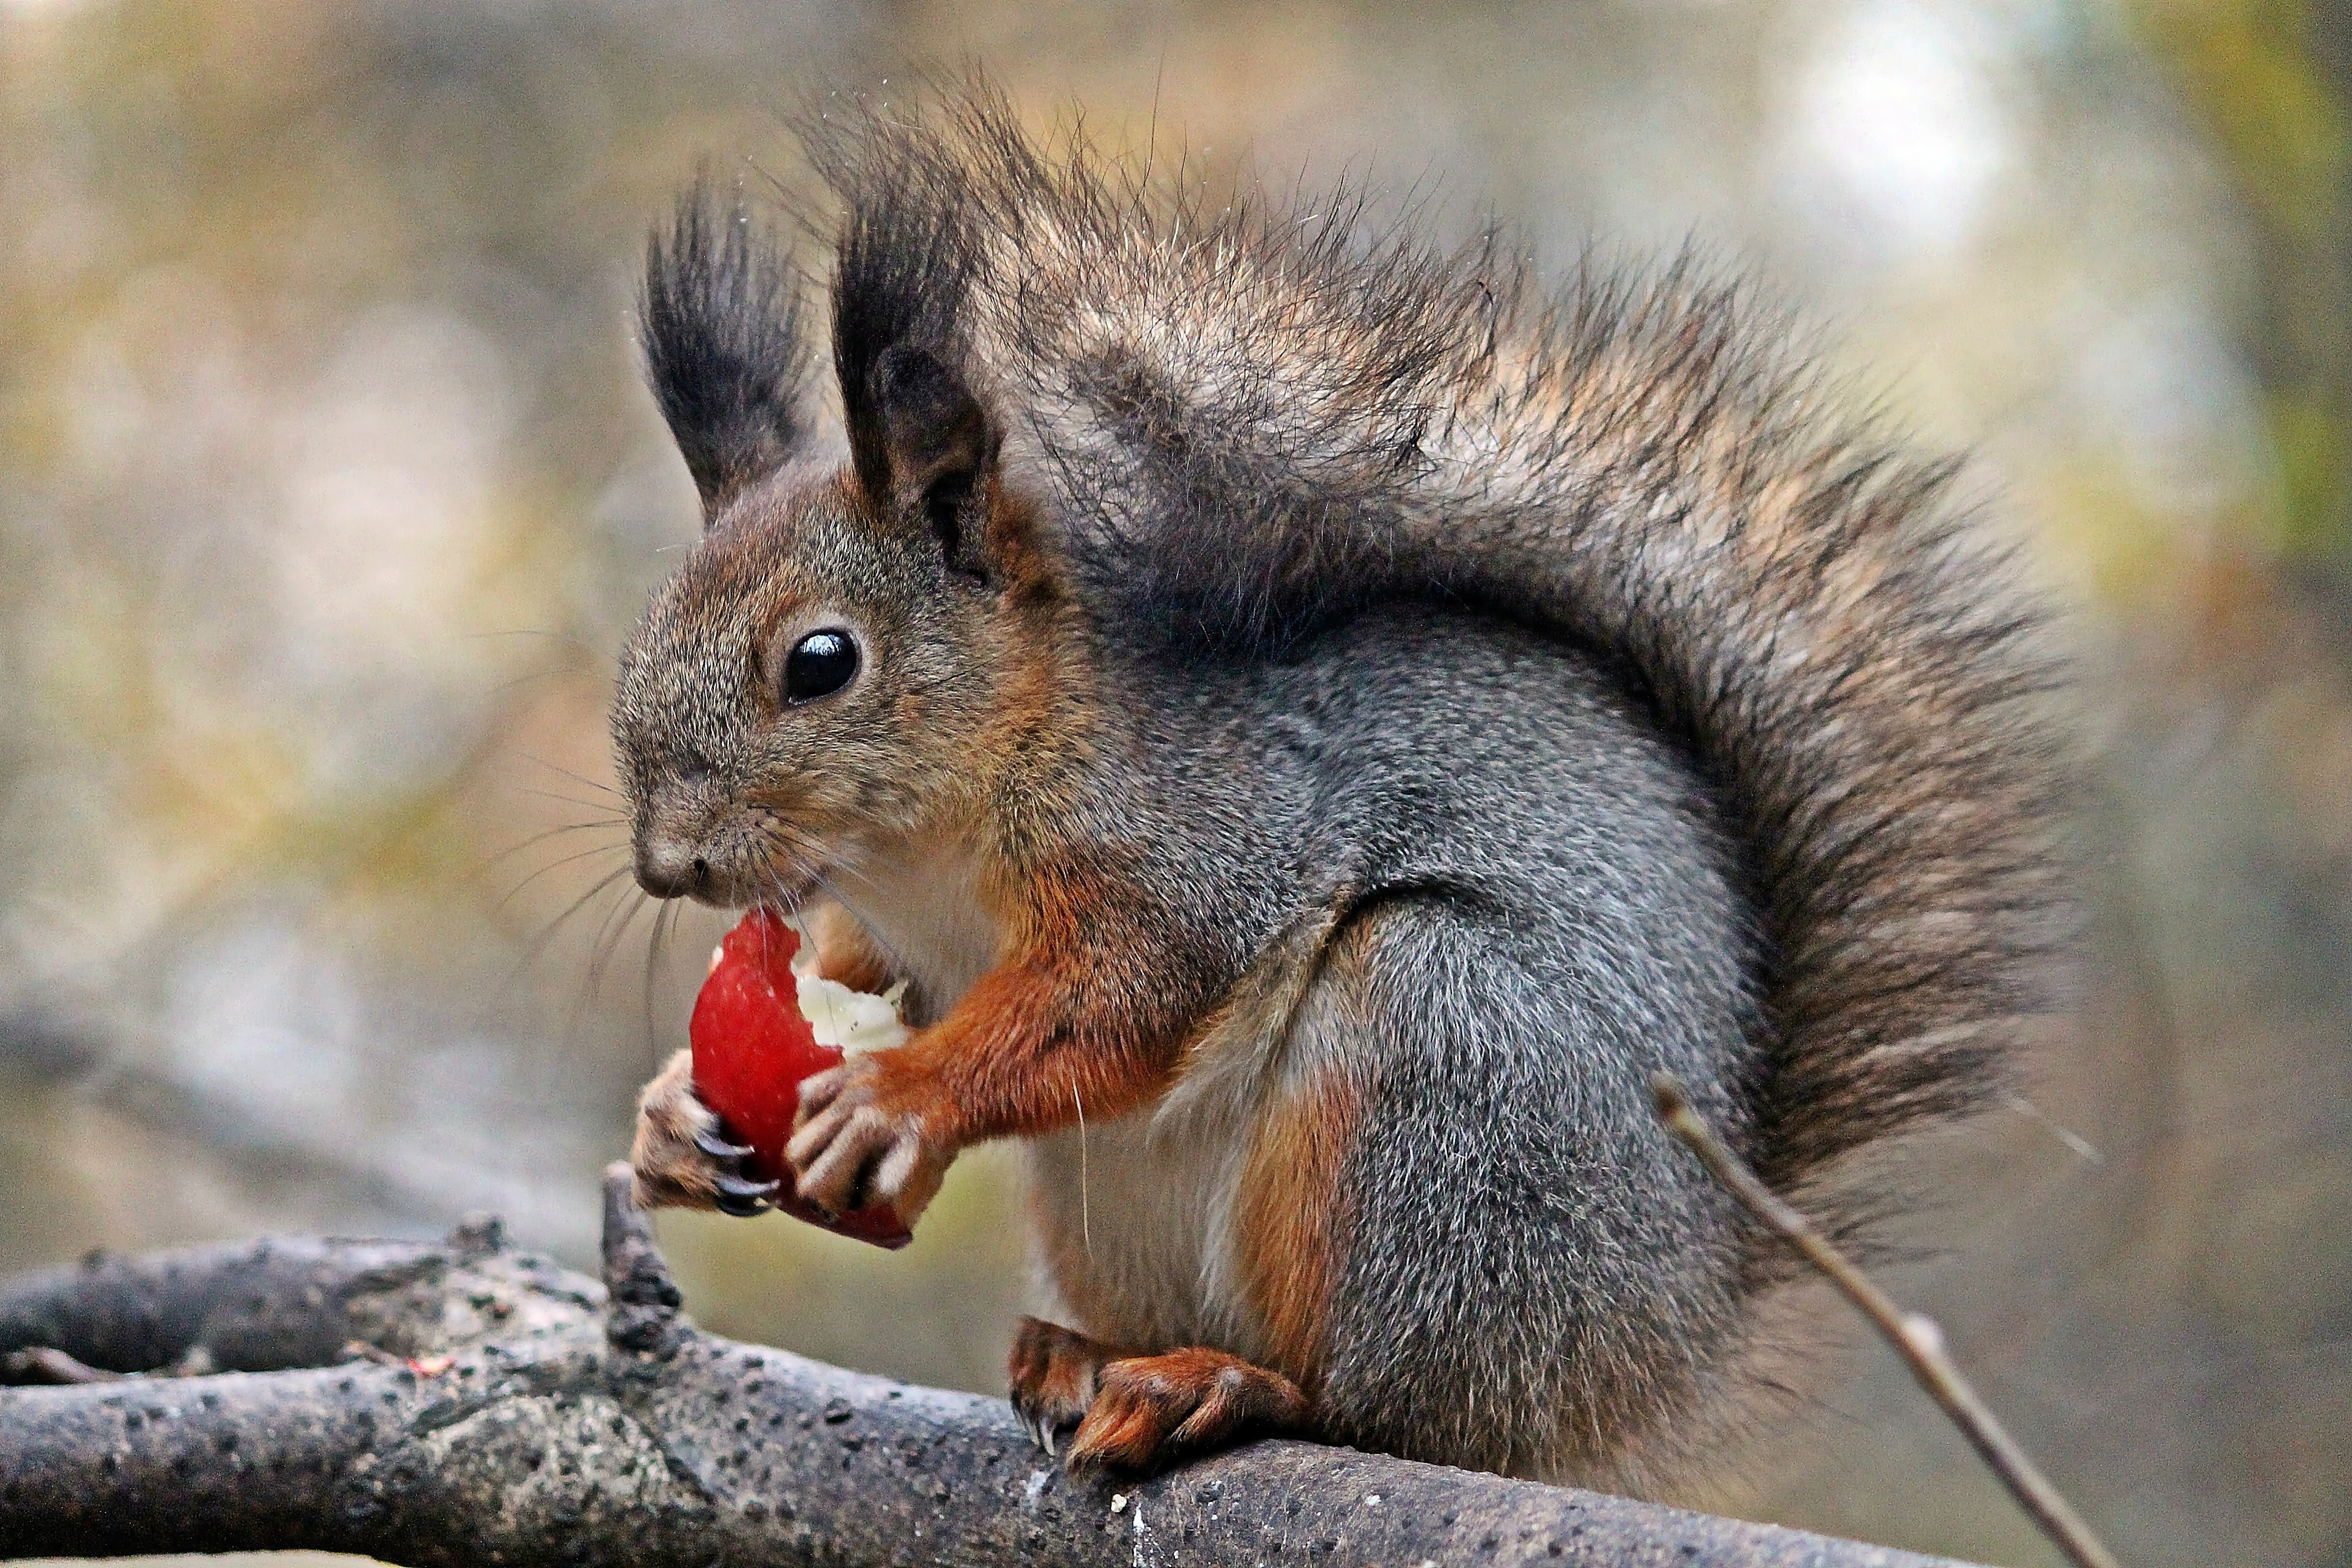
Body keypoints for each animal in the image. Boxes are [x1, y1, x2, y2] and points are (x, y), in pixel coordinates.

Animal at [620, 85, 2060, 1495]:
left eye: (821, 661)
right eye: (648, 636)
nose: (668, 864)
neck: (930, 846)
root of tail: (1658, 1340)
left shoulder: (1199, 843)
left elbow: (1119, 996)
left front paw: (897, 1094)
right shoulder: (891, 935)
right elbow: (856, 1002)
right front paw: (675, 1118)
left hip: (1441, 1084)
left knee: (1386, 1406)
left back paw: (1225, 1382)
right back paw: (1082, 1354)